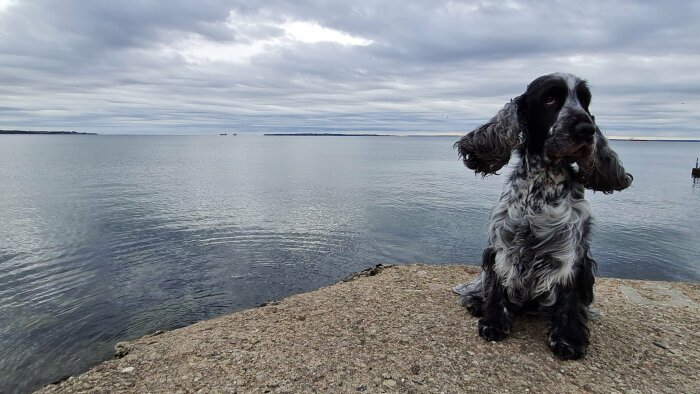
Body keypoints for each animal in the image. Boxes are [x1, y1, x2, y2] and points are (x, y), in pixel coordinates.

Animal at [454, 72, 636, 358]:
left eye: (585, 101)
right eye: (550, 98)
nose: (587, 129)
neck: (542, 183)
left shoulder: (573, 256)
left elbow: (571, 300)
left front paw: (568, 339)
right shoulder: (501, 247)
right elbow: (496, 288)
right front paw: (492, 323)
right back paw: (475, 301)